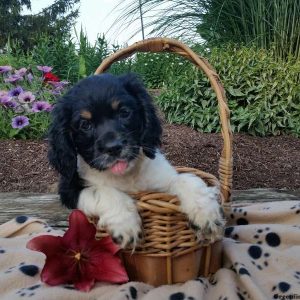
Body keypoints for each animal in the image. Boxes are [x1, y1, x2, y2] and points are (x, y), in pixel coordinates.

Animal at [48, 74, 224, 247]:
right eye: (85, 124)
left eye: (124, 113)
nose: (113, 148)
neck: (126, 176)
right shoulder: (68, 190)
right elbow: (103, 191)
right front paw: (125, 225)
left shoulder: (162, 182)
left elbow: (186, 179)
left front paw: (206, 213)